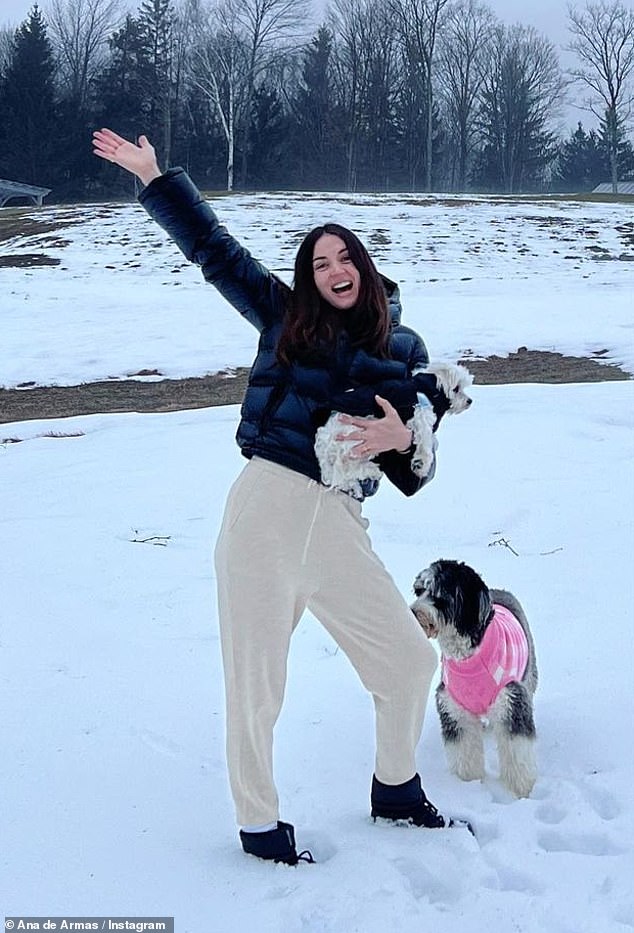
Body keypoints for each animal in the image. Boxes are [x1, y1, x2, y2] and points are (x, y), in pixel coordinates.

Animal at [408, 556, 536, 796]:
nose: (412, 613)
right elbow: (465, 751)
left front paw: (521, 790)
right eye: (419, 590)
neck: (467, 657)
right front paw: (469, 784)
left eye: (439, 595)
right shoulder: (454, 709)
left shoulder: (512, 701)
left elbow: (517, 753)